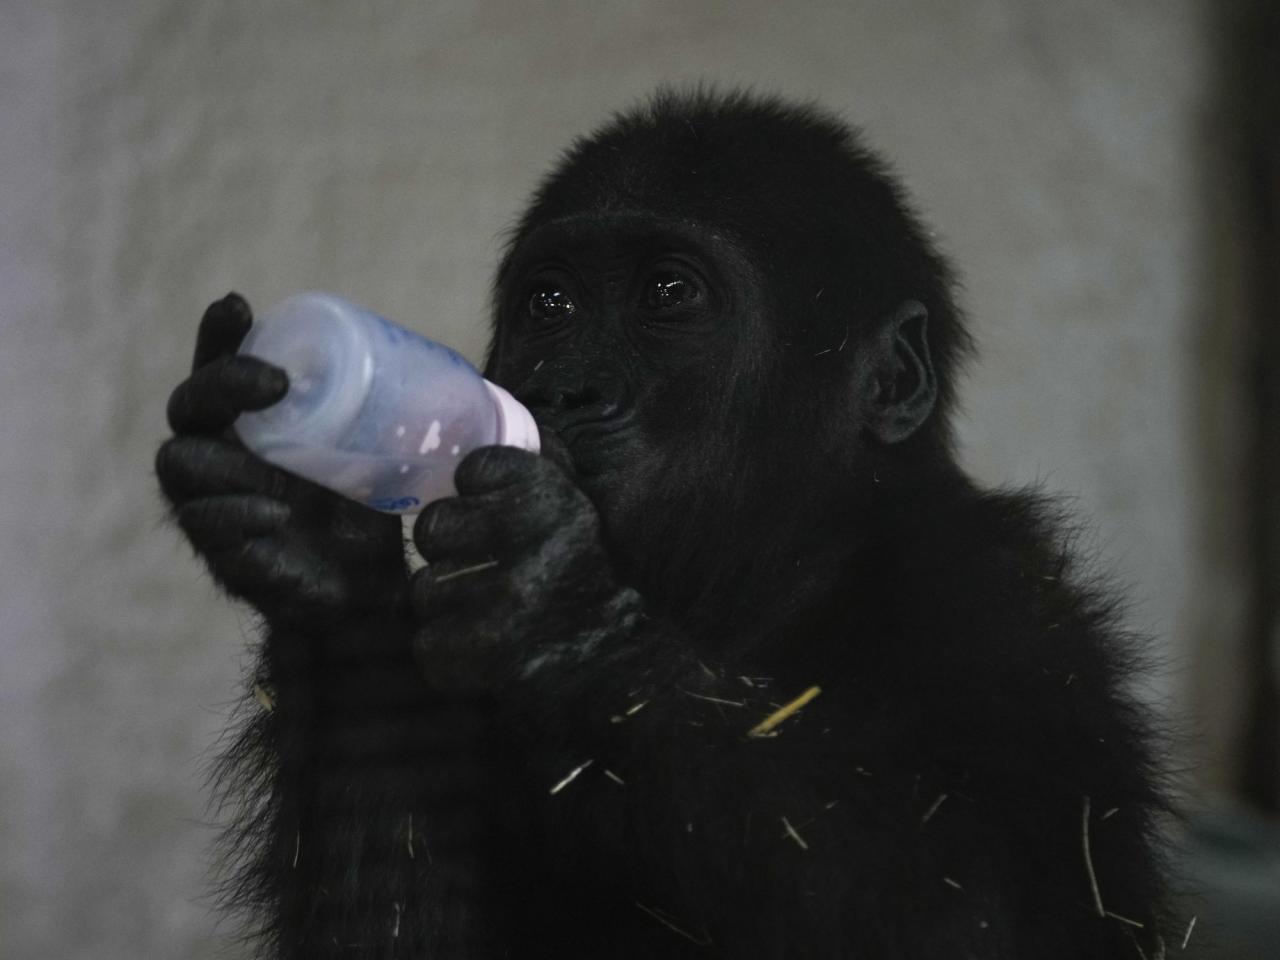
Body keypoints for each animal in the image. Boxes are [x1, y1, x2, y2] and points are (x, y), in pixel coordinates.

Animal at [160, 90, 1177, 960]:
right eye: (552, 304)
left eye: (668, 294)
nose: (565, 390)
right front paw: (319, 539)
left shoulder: (1005, 610)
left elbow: (989, 914)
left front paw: (561, 617)